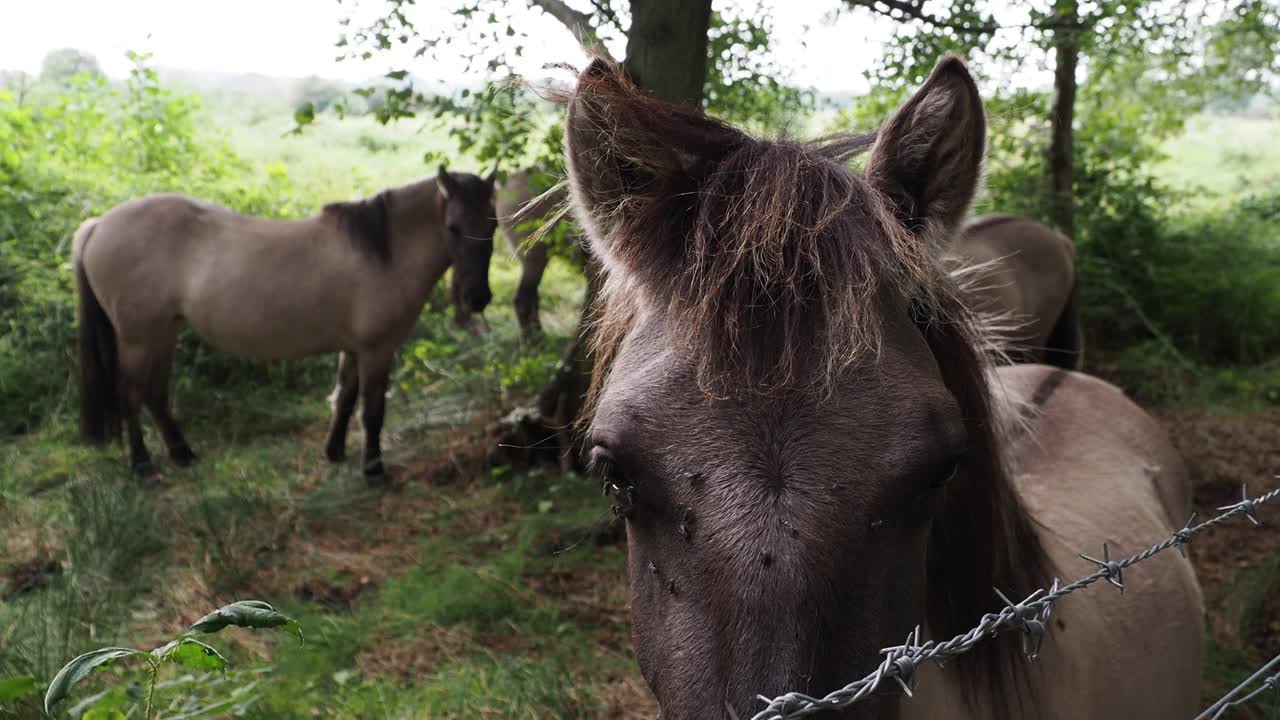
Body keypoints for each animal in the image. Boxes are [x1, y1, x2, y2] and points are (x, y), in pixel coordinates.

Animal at [72, 166, 496, 481]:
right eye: (454, 227)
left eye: (492, 225)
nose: (478, 298)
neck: (383, 253)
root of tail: (97, 226)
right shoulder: (377, 349)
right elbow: (372, 410)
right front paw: (374, 470)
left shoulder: (354, 347)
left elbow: (344, 398)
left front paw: (335, 452)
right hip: (138, 339)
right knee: (130, 394)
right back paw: (143, 465)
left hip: (164, 333)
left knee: (155, 394)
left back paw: (183, 454)